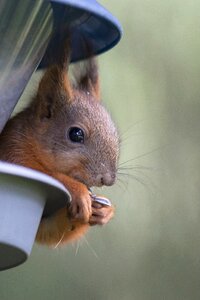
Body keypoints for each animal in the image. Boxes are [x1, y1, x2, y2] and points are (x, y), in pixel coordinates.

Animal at [0, 40, 119, 246]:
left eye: (115, 134)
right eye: (76, 134)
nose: (107, 179)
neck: (32, 143)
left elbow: (50, 230)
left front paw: (104, 211)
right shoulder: (12, 149)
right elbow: (47, 174)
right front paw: (78, 190)